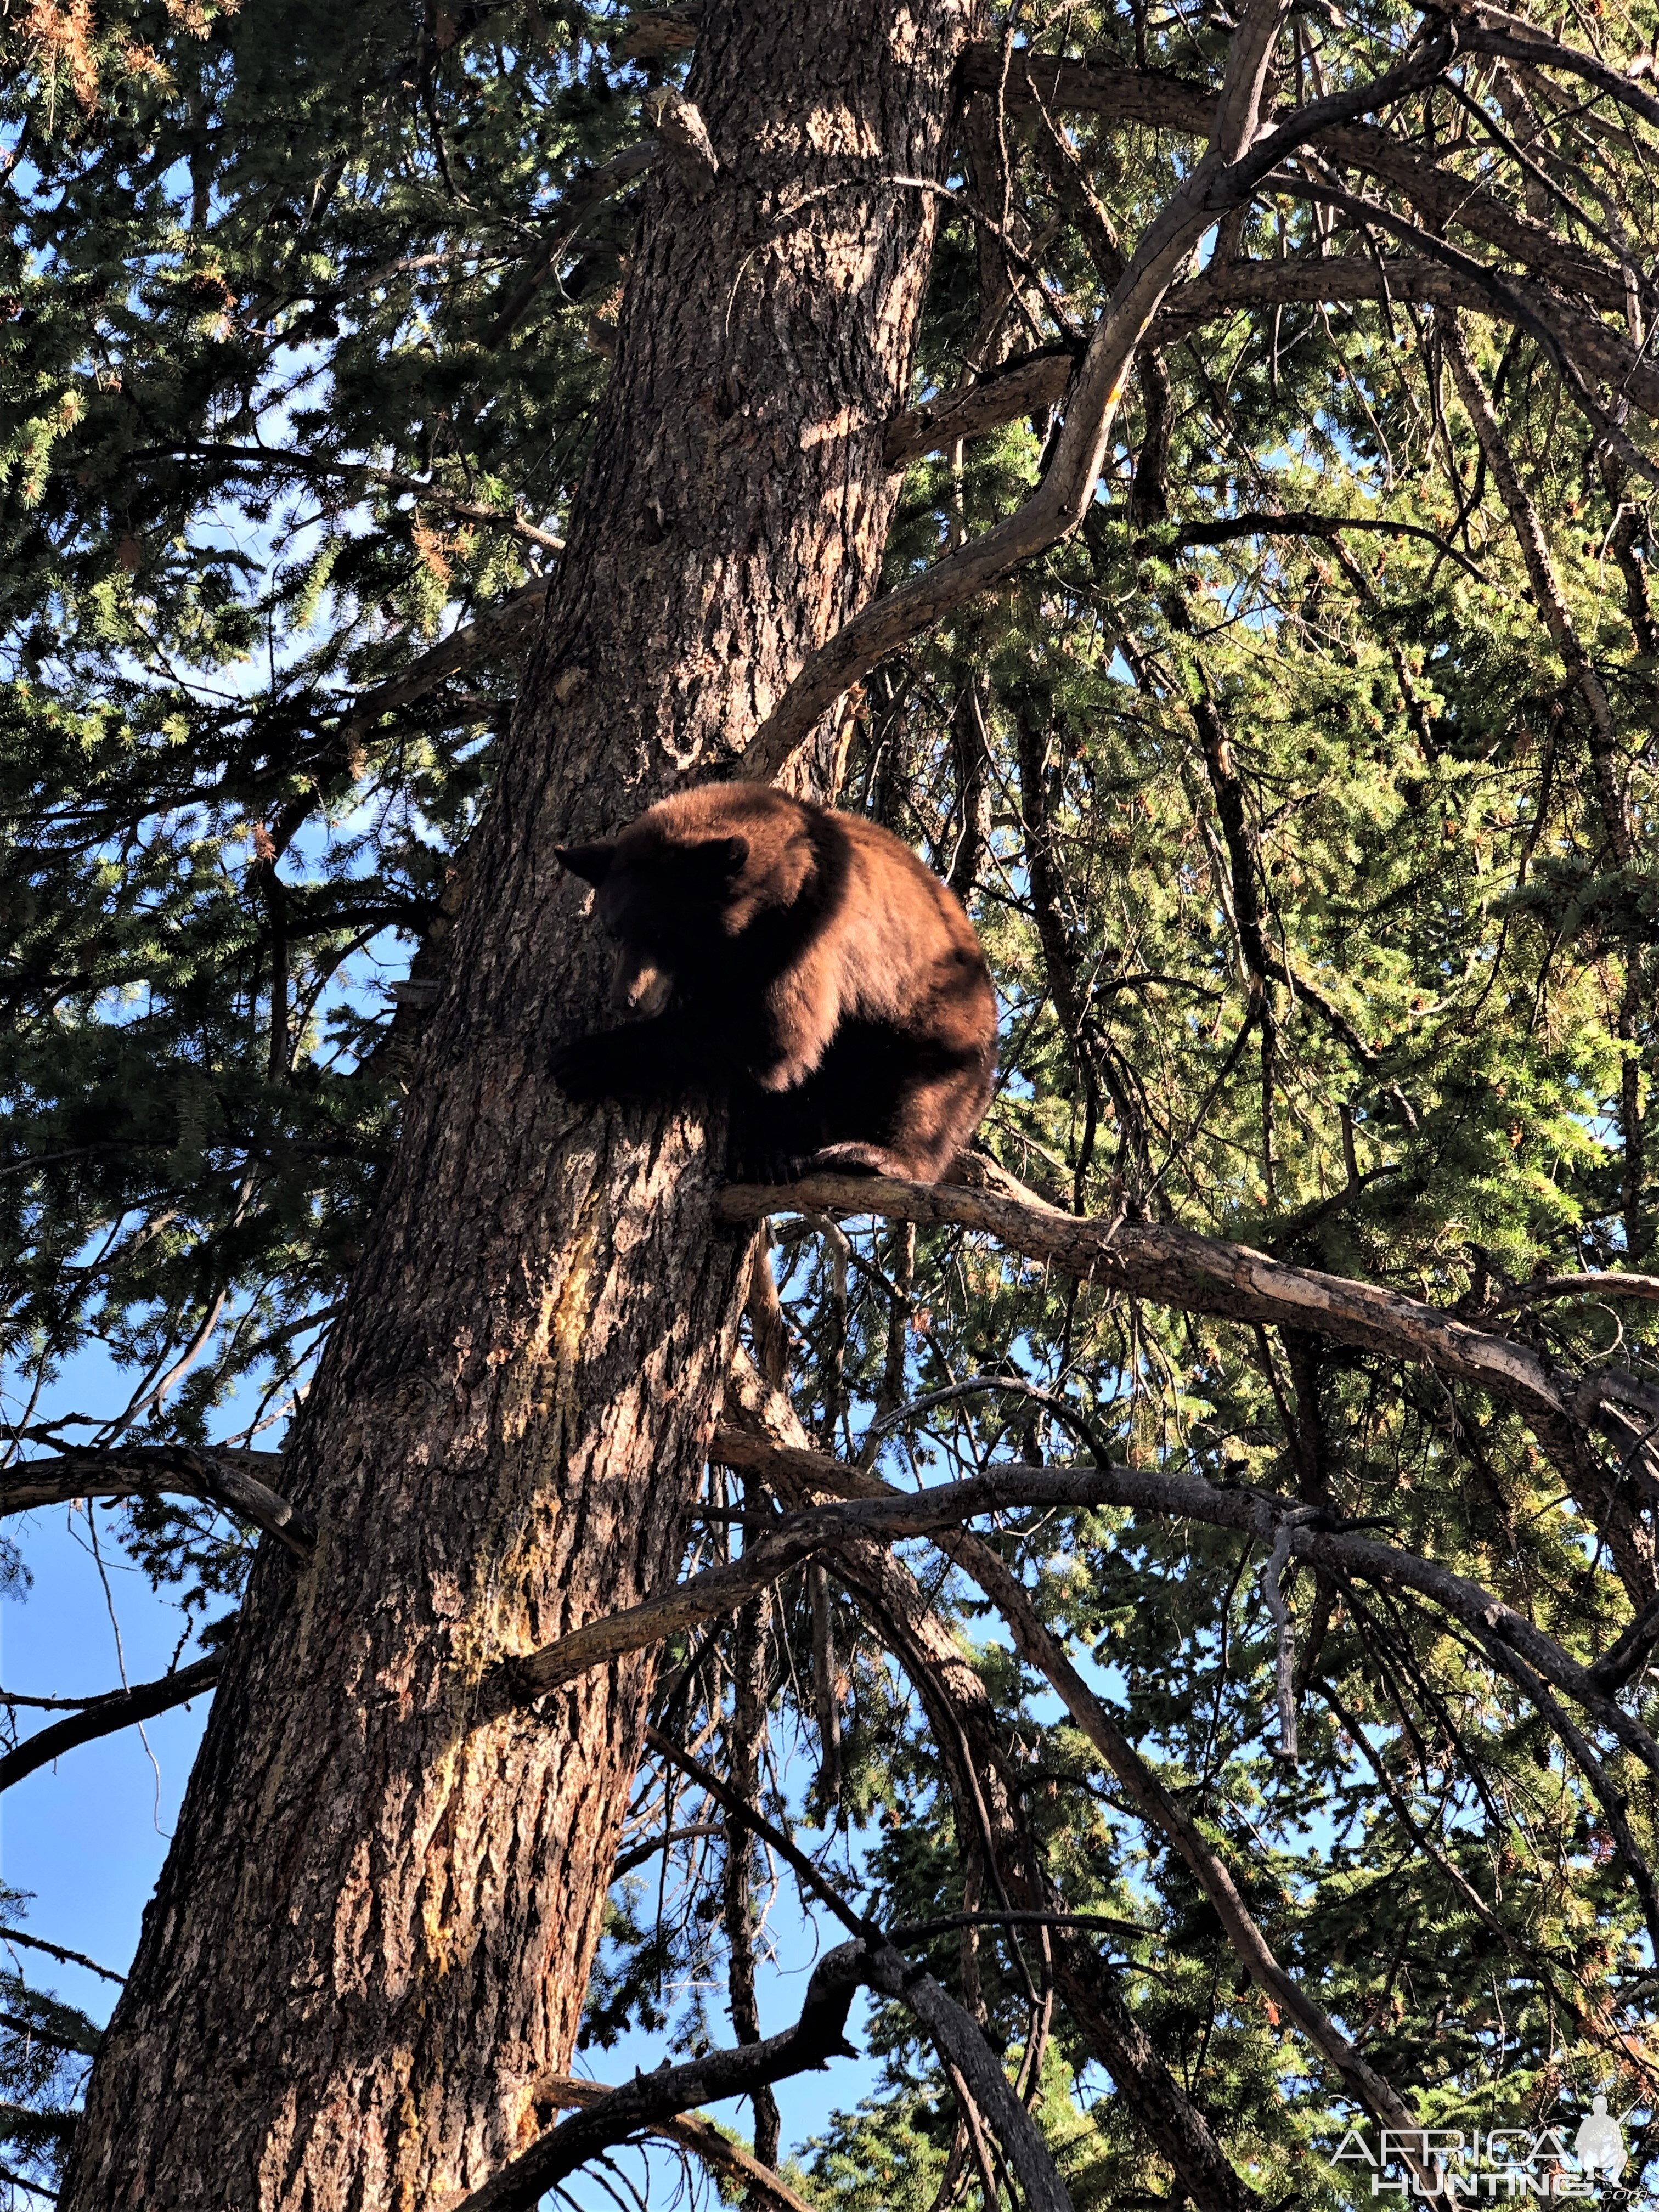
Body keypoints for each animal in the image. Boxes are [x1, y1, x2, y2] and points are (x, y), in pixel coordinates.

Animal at [560, 783, 1000, 1186]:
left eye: (662, 934)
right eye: (615, 932)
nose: (626, 1000)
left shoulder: (810, 931)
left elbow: (772, 1034)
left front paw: (581, 1058)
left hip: (940, 1025)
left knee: (924, 1099)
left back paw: (872, 1156)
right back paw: (778, 1156)